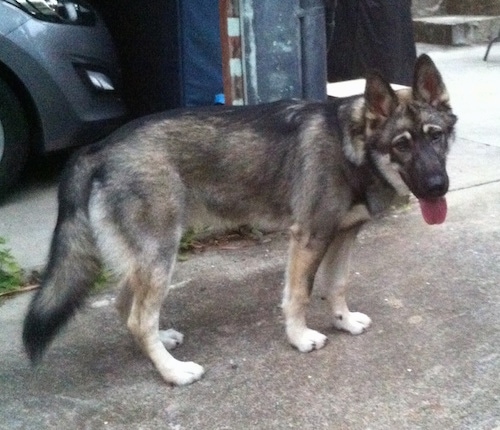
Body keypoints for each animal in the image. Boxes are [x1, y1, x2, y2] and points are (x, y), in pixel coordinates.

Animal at [21, 54, 456, 386]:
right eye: (402, 145)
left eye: (435, 136)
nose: (438, 186)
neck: (353, 145)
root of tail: (99, 147)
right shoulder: (309, 238)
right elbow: (299, 295)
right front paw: (299, 338)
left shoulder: (343, 235)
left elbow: (337, 285)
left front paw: (343, 321)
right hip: (162, 256)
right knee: (138, 319)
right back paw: (172, 372)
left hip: (149, 260)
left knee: (126, 308)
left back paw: (160, 345)